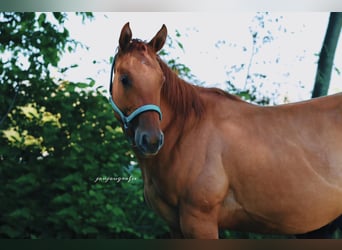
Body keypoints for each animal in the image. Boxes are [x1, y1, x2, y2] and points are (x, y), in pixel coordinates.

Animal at [109, 23, 342, 238]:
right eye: (125, 78)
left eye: (161, 81)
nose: (152, 140)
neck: (186, 131)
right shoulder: (175, 226)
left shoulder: (199, 220)